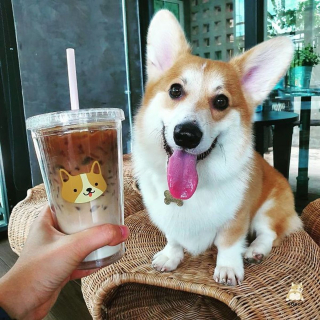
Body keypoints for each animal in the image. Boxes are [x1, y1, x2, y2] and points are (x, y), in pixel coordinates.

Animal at [131, 9, 302, 284]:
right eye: (175, 90)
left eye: (221, 101)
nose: (186, 135)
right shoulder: (168, 219)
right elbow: (173, 238)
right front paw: (170, 256)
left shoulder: (237, 216)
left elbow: (228, 243)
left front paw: (228, 268)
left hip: (270, 206)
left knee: (269, 233)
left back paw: (255, 251)